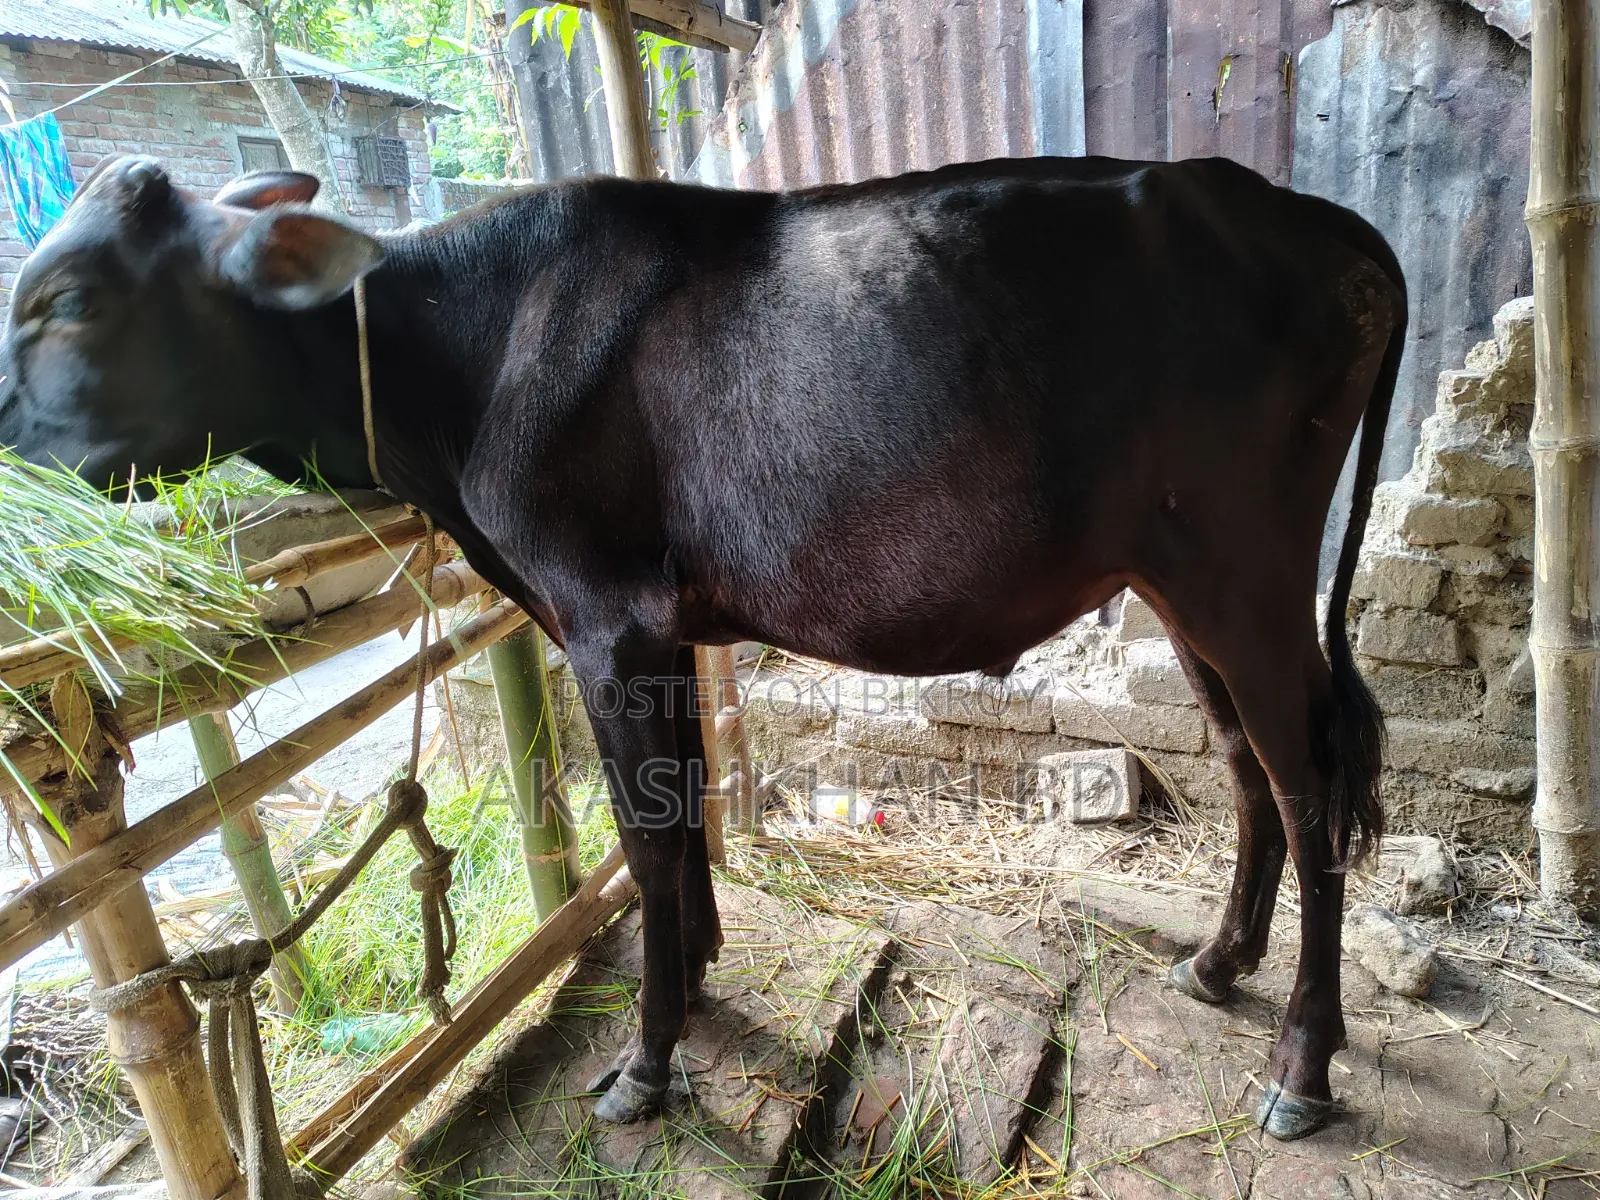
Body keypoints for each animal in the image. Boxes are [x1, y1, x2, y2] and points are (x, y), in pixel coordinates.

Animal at [0, 153, 1404, 1141]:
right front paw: (706, 976)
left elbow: (644, 835)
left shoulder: (603, 616)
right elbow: (677, 810)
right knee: (1246, 764)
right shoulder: (659, 624)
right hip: (1177, 575)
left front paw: (647, 1059)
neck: (456, 371)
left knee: (1309, 783)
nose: (10, 447)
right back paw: (1217, 964)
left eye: (66, 299)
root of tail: (1304, 215)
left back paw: (1302, 1065)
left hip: (1243, 567)